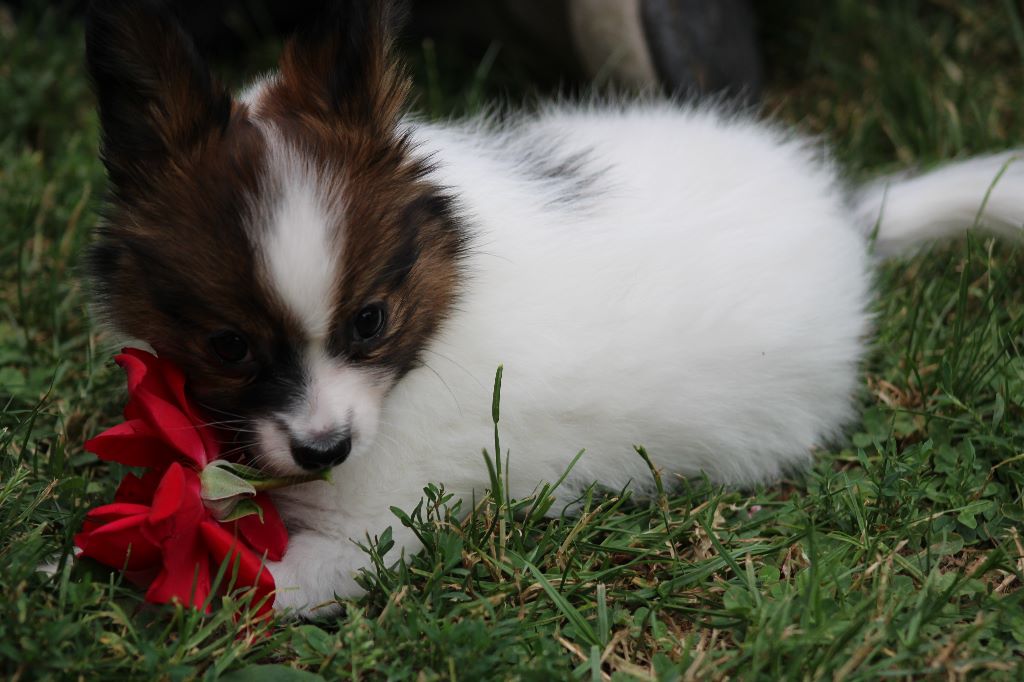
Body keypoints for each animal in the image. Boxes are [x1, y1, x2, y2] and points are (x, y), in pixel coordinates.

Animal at [81, 0, 1024, 614]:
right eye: (228, 346)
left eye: (370, 321)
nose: (325, 450)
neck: (444, 306)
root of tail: (842, 214)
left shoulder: (375, 525)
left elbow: (265, 579)